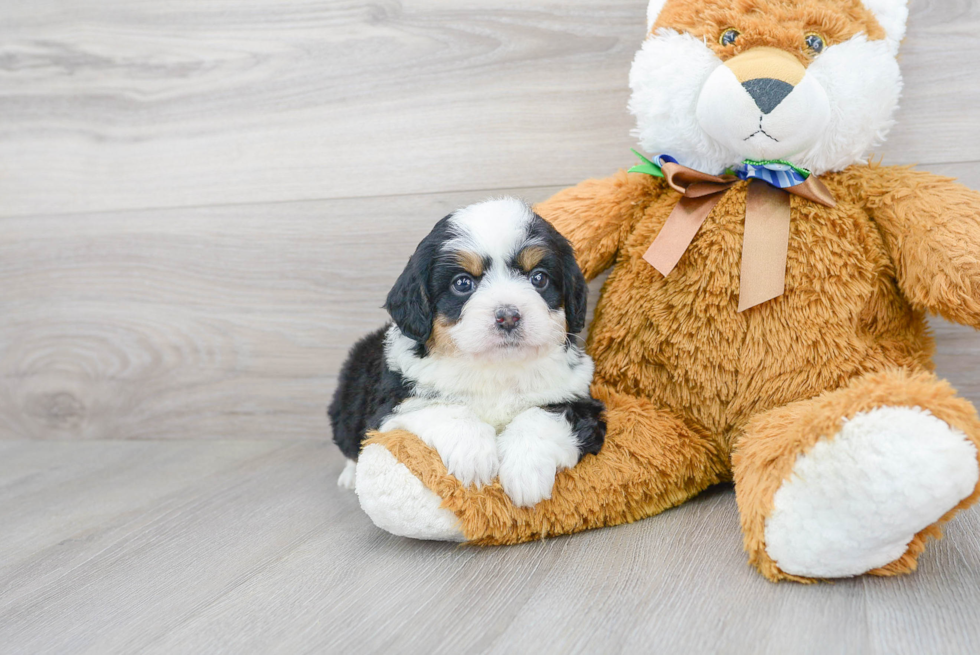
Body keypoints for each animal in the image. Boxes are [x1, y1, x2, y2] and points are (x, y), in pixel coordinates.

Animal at [330, 197, 604, 510]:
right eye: (462, 283)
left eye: (539, 278)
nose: (508, 316)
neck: (496, 368)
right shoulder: (392, 406)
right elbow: (443, 409)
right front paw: (473, 455)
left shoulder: (581, 400)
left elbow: (543, 416)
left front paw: (525, 470)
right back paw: (349, 476)